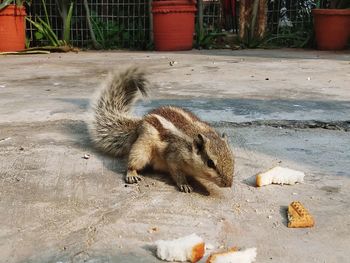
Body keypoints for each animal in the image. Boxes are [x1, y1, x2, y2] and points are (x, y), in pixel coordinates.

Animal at [89, 67, 234, 193]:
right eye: (210, 163)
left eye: (232, 159)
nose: (228, 184)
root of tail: (140, 123)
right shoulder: (173, 156)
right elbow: (176, 172)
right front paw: (184, 184)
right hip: (142, 147)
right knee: (133, 161)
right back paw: (131, 173)